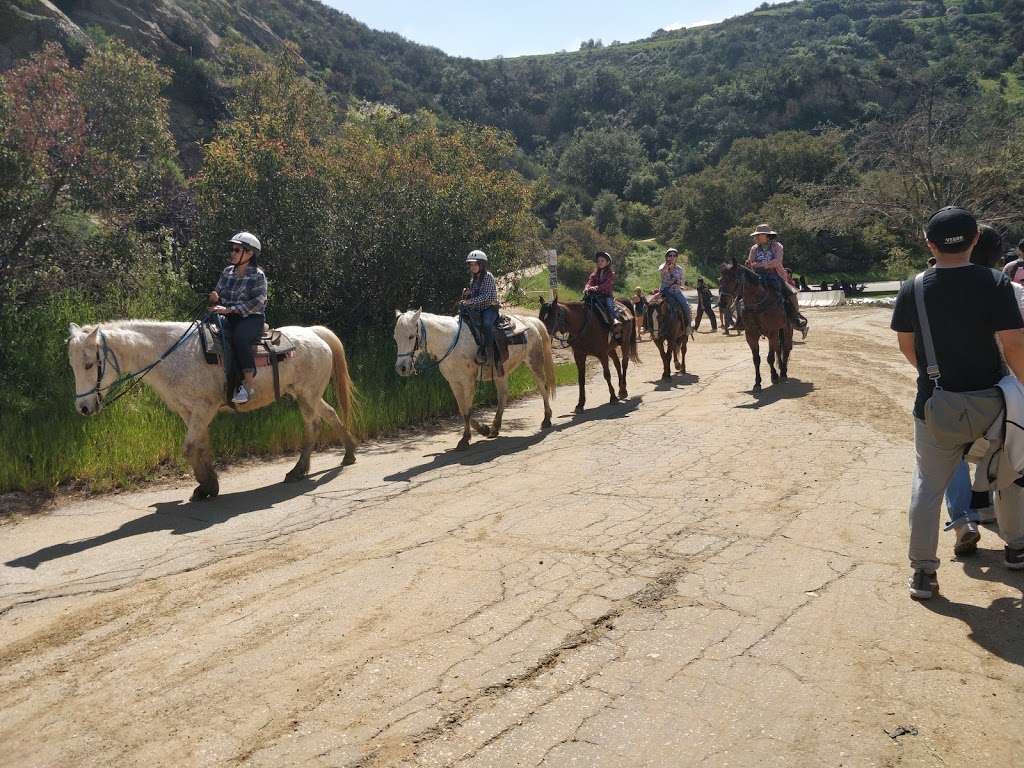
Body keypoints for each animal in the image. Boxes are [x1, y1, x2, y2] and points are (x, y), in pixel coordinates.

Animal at [68, 321, 356, 501]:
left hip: (307, 396)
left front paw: (206, 484)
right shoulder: (189, 412)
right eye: (72, 365)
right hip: (308, 395)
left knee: (313, 426)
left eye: (89, 363)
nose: (83, 407)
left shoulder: (203, 409)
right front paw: (208, 486)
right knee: (330, 414)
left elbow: (188, 448)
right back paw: (348, 454)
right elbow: (201, 446)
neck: (173, 357)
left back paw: (298, 470)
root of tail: (314, 333)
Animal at [393, 309, 557, 448]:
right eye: (395, 338)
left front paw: (465, 439)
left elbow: (468, 410)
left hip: (534, 361)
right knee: (503, 396)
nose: (401, 368)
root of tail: (530, 321)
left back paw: (546, 419)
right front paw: (483, 429)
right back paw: (494, 428)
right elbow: (462, 409)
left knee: (543, 388)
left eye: (411, 336)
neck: (450, 342)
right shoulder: (454, 382)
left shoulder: (468, 382)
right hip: (500, 372)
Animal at [720, 264, 790, 397]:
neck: (757, 305)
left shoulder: (772, 332)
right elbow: (756, 359)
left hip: (784, 328)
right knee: (778, 349)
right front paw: (757, 383)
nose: (722, 303)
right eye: (720, 280)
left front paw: (774, 376)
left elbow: (770, 357)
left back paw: (783, 372)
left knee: (784, 348)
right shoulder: (751, 335)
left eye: (734, 280)